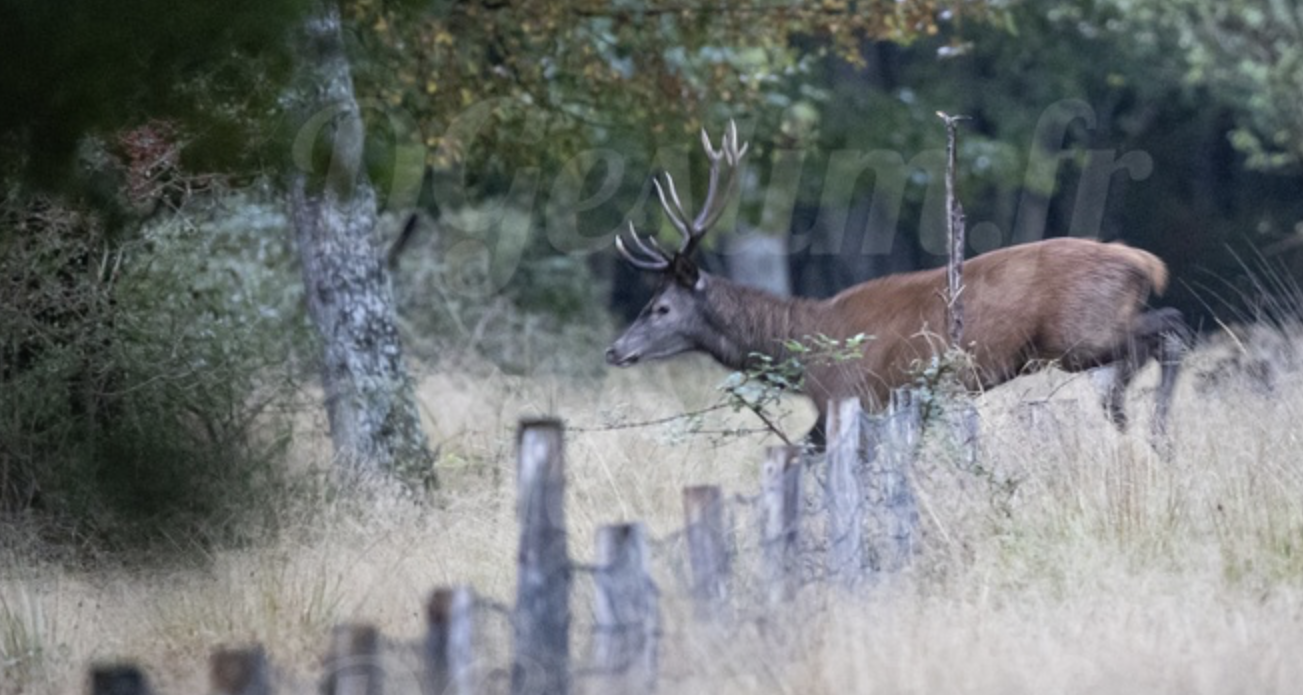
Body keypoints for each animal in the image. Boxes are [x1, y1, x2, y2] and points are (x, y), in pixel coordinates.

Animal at [605, 122, 1190, 451]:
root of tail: (1145, 261)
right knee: (1160, 336)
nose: (614, 350)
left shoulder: (847, 396)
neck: (803, 345)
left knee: (1170, 328)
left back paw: (1147, 425)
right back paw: (1132, 417)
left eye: (660, 307)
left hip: (1078, 334)